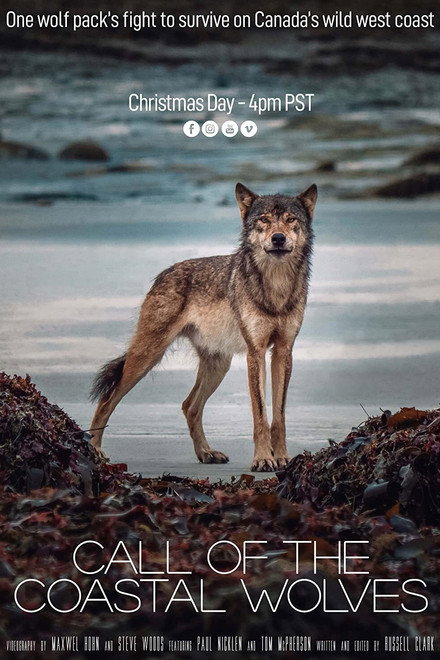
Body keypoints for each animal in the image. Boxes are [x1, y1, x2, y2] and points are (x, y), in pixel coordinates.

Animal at [90, 183, 317, 471]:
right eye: (264, 220)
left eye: (290, 220)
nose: (278, 238)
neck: (276, 286)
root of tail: (163, 274)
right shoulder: (255, 353)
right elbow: (260, 415)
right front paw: (263, 459)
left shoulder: (283, 352)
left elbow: (279, 416)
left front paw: (283, 458)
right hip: (146, 357)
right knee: (106, 401)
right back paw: (95, 451)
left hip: (218, 365)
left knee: (189, 405)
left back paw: (206, 453)